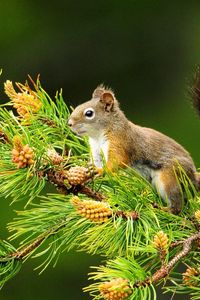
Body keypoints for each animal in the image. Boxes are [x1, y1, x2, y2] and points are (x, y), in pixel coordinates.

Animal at [68, 72, 200, 214]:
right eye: (77, 107)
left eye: (89, 113)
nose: (69, 123)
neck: (98, 136)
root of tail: (193, 177)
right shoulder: (97, 150)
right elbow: (96, 162)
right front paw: (87, 171)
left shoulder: (120, 141)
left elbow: (118, 160)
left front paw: (101, 170)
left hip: (170, 177)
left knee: (177, 204)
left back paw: (164, 209)